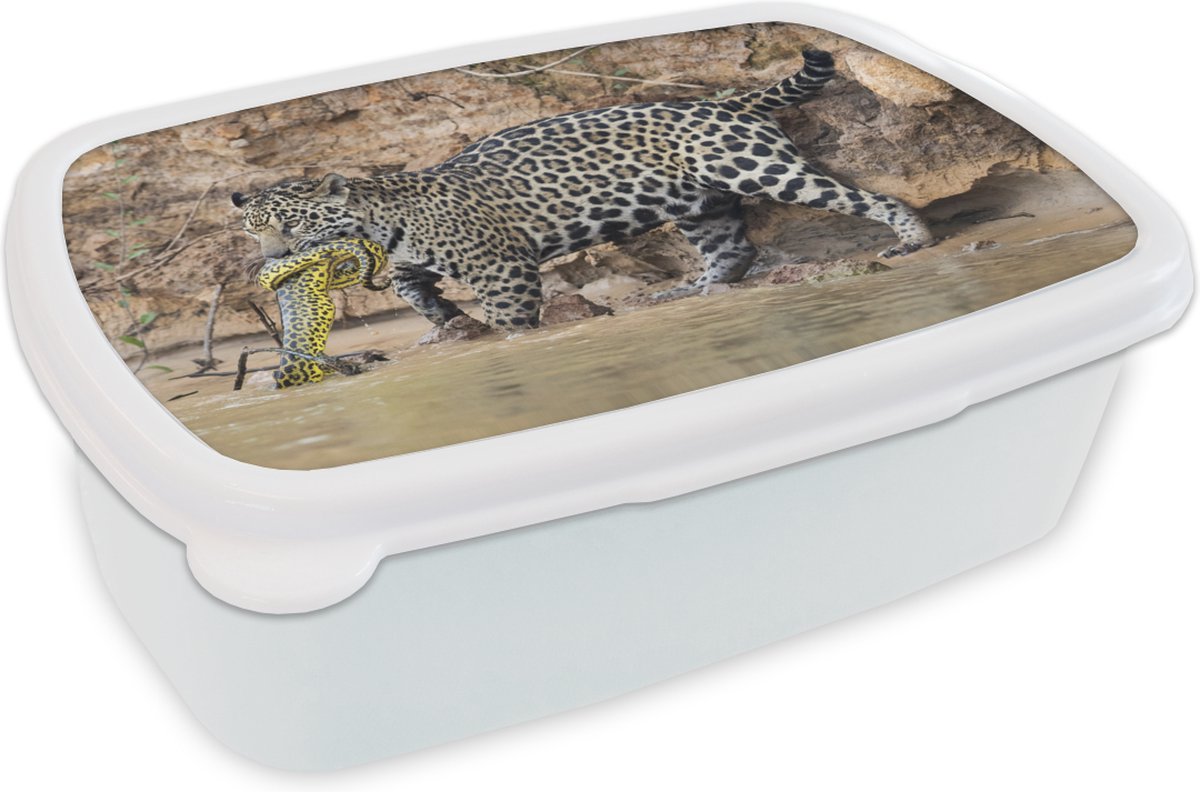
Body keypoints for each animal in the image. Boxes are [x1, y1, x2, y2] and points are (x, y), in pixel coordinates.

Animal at [232, 48, 933, 331]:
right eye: (254, 232)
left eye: (295, 227)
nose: (273, 263)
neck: (378, 226)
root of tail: (724, 101)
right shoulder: (412, 260)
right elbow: (413, 289)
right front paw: (444, 322)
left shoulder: (499, 266)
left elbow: (512, 318)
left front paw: (502, 336)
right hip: (700, 205)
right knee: (732, 250)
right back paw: (691, 289)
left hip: (759, 169)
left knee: (862, 199)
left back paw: (912, 238)